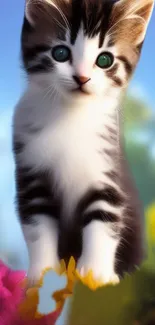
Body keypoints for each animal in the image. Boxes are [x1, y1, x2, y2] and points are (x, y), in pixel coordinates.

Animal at [13, 0, 154, 284]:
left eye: (104, 60)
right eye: (60, 53)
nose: (81, 77)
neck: (70, 116)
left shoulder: (108, 169)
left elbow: (104, 220)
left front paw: (96, 276)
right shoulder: (31, 173)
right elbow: (38, 227)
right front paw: (42, 276)